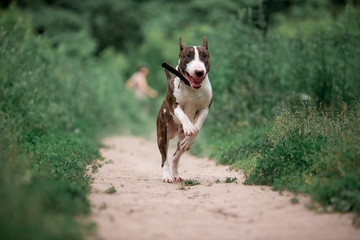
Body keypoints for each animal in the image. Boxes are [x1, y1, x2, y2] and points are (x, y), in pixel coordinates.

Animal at [156, 36, 212, 183]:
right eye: (188, 55)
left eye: (205, 55)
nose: (199, 72)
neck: (192, 88)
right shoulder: (174, 105)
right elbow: (183, 115)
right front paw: (188, 126)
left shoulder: (205, 108)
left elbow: (197, 127)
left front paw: (190, 137)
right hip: (162, 135)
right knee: (164, 158)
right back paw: (167, 176)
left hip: (179, 142)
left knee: (175, 156)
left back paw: (175, 174)